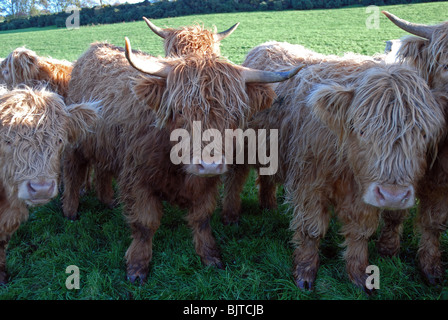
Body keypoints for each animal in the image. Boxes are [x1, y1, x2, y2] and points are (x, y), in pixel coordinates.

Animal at [62, 38, 300, 282]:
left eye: (234, 115)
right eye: (180, 111)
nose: (209, 164)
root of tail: (96, 46)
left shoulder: (207, 184)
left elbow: (202, 219)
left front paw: (210, 255)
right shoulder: (137, 180)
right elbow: (144, 223)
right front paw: (137, 266)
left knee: (102, 169)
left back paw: (108, 201)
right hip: (76, 144)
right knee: (72, 173)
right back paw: (70, 211)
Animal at [220, 41, 444, 292]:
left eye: (423, 134)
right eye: (362, 130)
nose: (392, 195)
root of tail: (267, 45)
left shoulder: (364, 194)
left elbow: (360, 231)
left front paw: (359, 275)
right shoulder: (309, 184)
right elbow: (311, 229)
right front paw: (305, 273)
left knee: (267, 177)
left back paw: (269, 207)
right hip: (240, 145)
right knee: (234, 179)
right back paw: (230, 217)